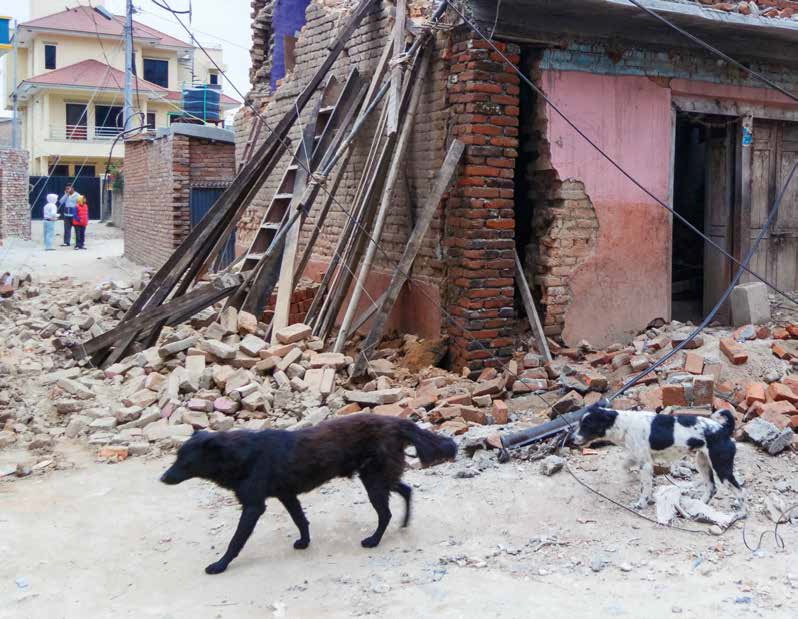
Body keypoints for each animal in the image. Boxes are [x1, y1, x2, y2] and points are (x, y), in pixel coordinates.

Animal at [161, 414, 456, 572]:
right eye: (176, 457)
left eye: (185, 462)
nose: (162, 478)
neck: (239, 456)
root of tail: (396, 422)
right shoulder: (287, 495)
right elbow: (300, 520)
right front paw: (304, 542)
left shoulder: (254, 506)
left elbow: (235, 541)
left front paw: (220, 565)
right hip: (379, 477)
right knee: (406, 490)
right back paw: (404, 523)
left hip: (373, 481)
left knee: (385, 513)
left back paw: (374, 540)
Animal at [572, 400, 748, 512]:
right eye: (580, 423)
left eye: (586, 425)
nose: (572, 439)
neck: (623, 425)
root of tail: (724, 430)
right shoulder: (640, 458)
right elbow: (626, 467)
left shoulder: (645, 464)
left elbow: (645, 487)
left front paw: (641, 504)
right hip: (702, 462)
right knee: (712, 488)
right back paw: (699, 506)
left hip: (721, 467)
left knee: (740, 491)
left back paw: (740, 513)